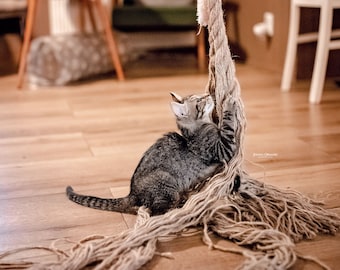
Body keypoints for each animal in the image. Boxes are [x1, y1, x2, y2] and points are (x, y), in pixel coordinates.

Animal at [66, 92, 239, 215]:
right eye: (199, 101)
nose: (208, 95)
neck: (200, 127)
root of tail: (132, 193)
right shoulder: (222, 149)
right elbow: (228, 128)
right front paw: (229, 104)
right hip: (167, 184)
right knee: (155, 211)